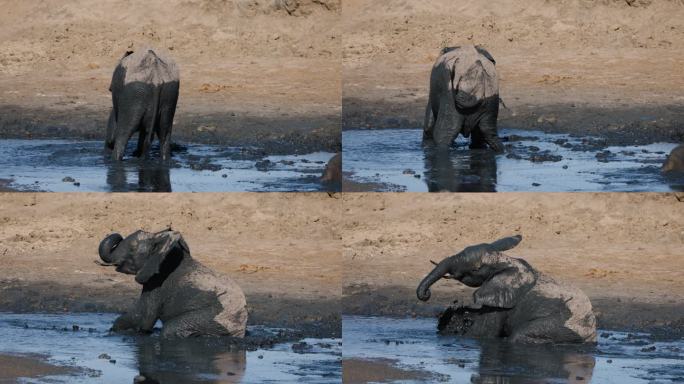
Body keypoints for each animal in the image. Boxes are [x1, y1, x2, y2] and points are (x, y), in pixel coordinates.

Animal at [96, 230, 246, 338]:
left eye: (133, 248)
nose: (118, 235)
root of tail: (240, 332)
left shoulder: (157, 281)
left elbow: (143, 318)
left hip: (209, 319)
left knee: (170, 330)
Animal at [414, 236, 596, 344]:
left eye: (475, 269)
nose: (426, 294)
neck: (506, 261)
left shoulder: (500, 303)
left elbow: (483, 333)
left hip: (562, 328)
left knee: (519, 336)